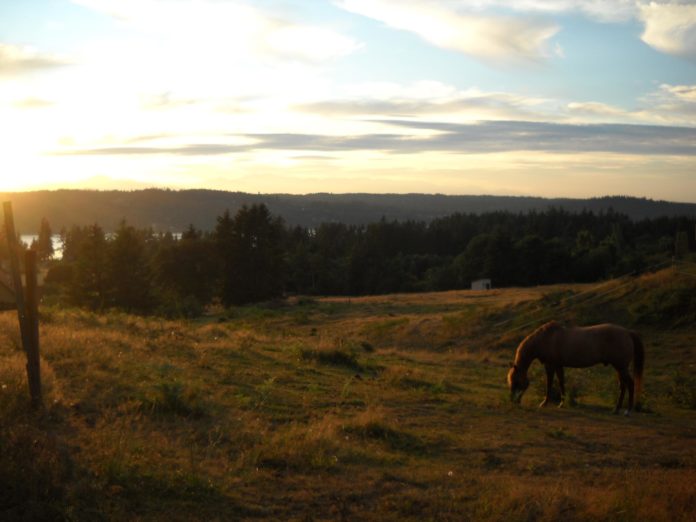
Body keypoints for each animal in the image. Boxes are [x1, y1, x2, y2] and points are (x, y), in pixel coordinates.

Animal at [506, 318, 648, 412]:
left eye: (517, 382)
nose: (513, 401)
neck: (545, 338)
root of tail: (627, 332)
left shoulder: (550, 365)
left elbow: (549, 384)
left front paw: (545, 403)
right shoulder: (558, 365)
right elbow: (561, 383)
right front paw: (562, 403)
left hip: (621, 367)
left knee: (630, 384)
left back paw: (628, 411)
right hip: (619, 368)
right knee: (622, 386)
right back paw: (616, 409)